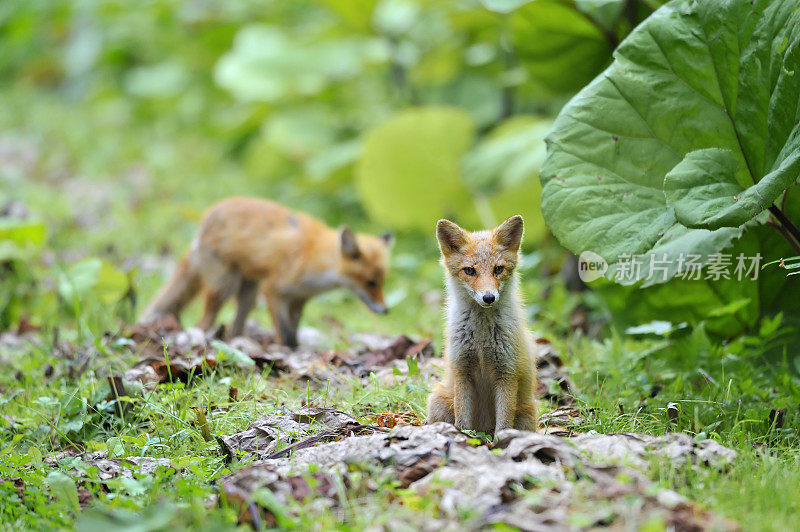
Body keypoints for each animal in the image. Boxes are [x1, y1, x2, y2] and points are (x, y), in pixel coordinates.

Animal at [142, 197, 396, 348]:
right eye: (371, 282)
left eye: (382, 281)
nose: (385, 310)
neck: (315, 258)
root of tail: (205, 220)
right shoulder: (274, 290)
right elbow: (285, 333)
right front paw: (288, 352)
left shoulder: (299, 298)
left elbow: (294, 331)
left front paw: (296, 350)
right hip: (225, 286)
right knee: (204, 321)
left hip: (248, 293)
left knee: (235, 325)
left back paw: (236, 342)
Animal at [424, 214, 536, 434]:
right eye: (469, 270)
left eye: (498, 269)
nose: (489, 297)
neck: (482, 341)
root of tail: (484, 429)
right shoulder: (461, 369)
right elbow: (462, 419)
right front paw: (464, 437)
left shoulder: (507, 373)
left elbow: (503, 423)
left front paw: (503, 440)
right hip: (437, 401)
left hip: (527, 416)